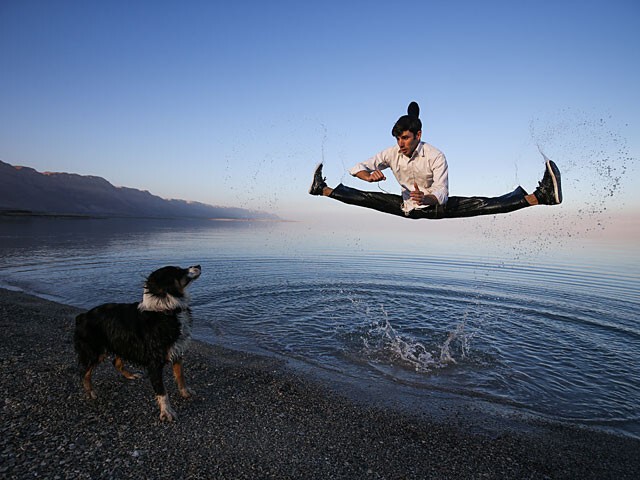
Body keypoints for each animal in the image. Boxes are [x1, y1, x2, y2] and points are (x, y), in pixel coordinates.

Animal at [74, 264, 201, 422]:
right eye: (179, 271)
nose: (198, 265)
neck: (167, 309)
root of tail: (83, 316)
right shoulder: (154, 363)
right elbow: (162, 391)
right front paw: (166, 412)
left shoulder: (176, 350)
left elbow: (180, 375)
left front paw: (185, 392)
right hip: (95, 351)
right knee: (84, 372)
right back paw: (90, 392)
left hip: (121, 343)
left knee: (115, 362)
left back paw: (131, 375)